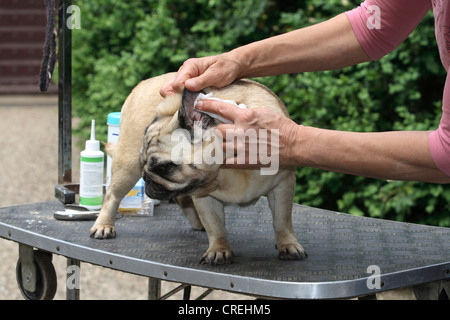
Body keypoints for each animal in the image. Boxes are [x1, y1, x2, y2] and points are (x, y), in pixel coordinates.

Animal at [89, 72, 308, 264]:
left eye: (163, 167)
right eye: (149, 167)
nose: (148, 179)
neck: (229, 167)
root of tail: (144, 82)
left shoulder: (282, 186)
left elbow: (282, 220)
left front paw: (288, 245)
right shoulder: (204, 196)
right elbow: (215, 225)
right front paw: (219, 249)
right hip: (126, 167)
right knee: (112, 196)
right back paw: (103, 225)